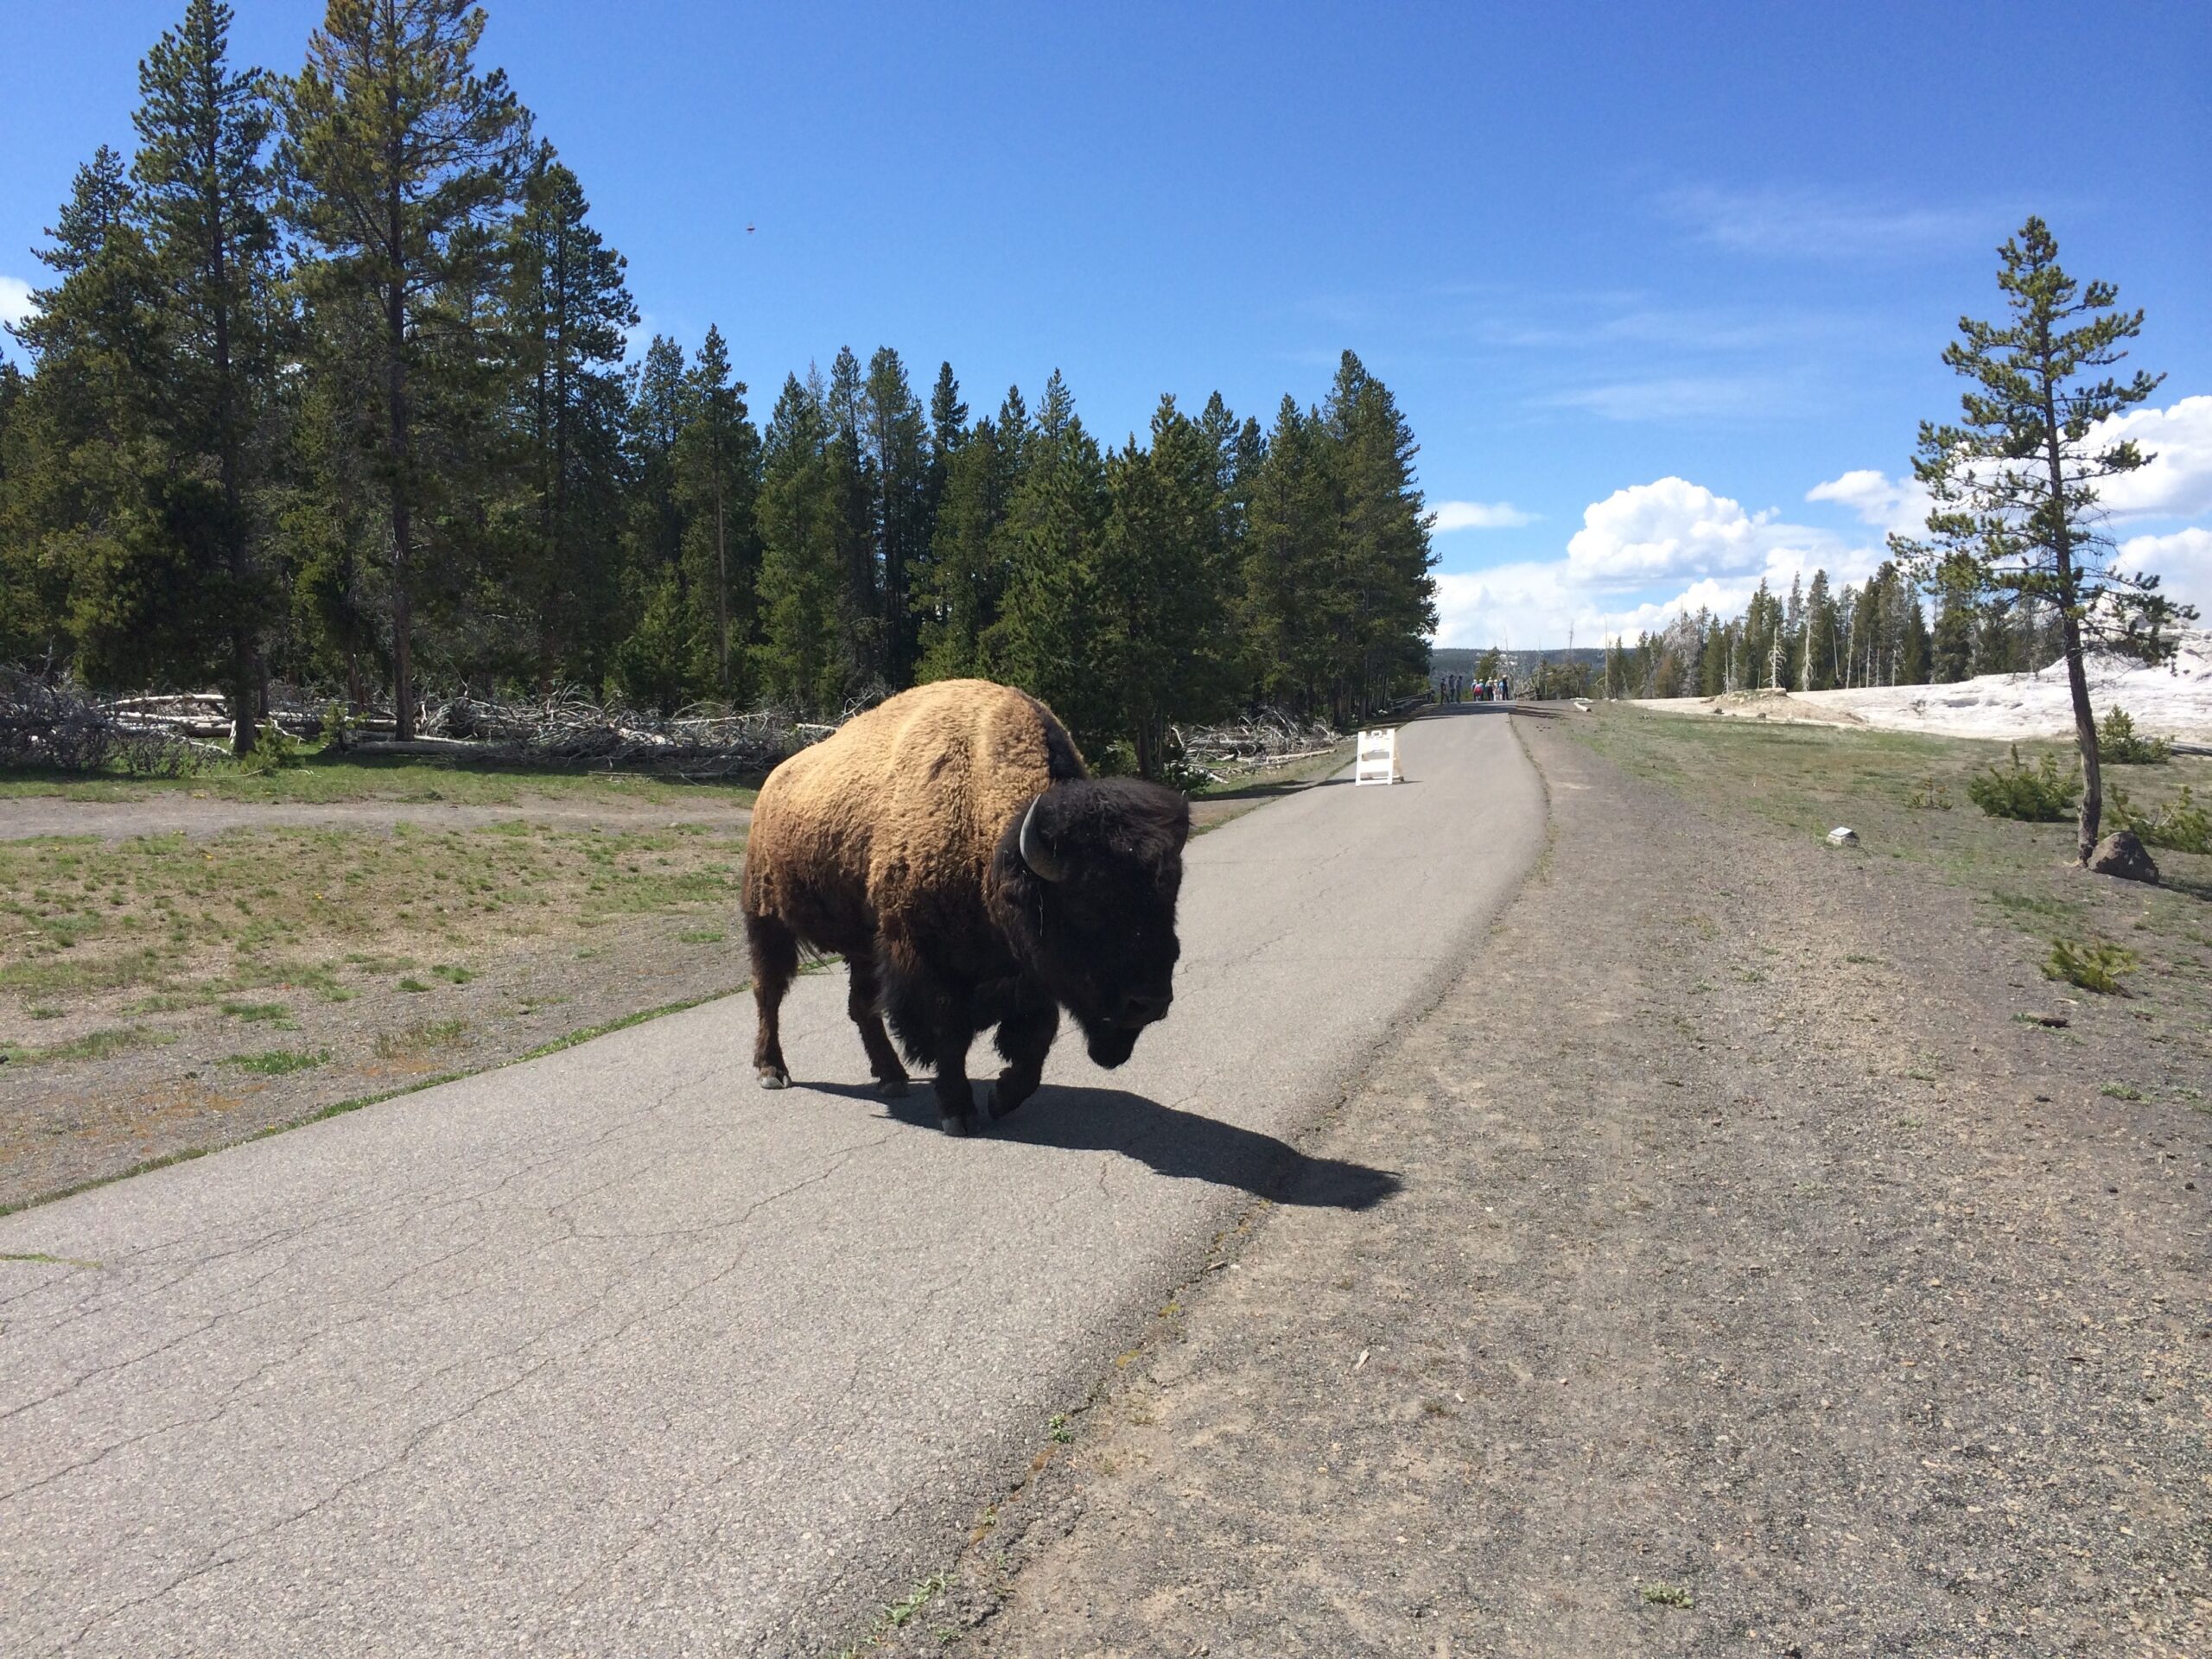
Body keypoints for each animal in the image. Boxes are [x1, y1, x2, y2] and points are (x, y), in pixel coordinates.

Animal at [743, 681, 1194, 1141]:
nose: (1150, 1003)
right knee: (769, 991)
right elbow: (950, 1033)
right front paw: (958, 1112)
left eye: (1170, 899)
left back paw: (892, 1077)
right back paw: (772, 1070)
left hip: (863, 944)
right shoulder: (926, 960)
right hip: (767, 920)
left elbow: (1038, 1034)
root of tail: (772, 784)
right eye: (1088, 904)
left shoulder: (1025, 971)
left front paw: (1002, 1097)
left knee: (861, 1004)